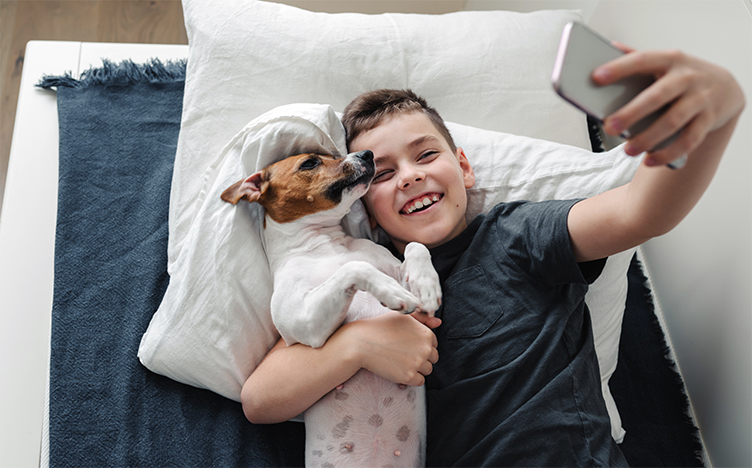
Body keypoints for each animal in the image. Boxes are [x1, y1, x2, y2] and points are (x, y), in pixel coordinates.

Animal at [220, 150, 440, 468]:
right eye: (310, 162)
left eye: (333, 155)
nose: (367, 154)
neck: (324, 244)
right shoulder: (305, 322)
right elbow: (354, 267)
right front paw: (391, 291)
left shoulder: (396, 267)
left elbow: (415, 246)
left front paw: (427, 284)